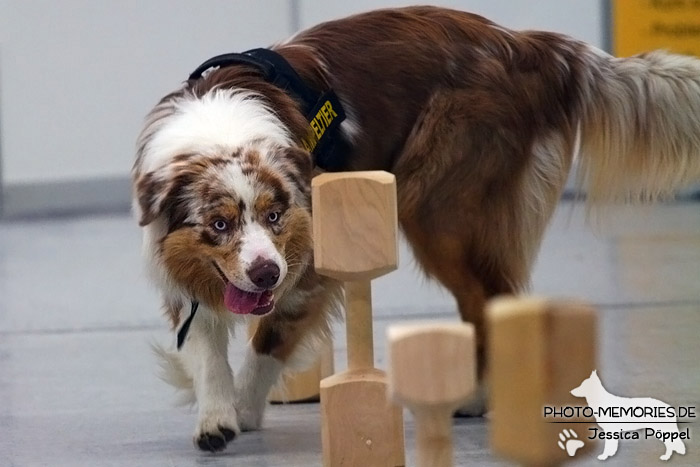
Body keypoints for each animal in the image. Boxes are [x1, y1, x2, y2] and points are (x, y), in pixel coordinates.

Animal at [134, 6, 700, 454]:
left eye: (275, 215)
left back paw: (476, 398)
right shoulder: (187, 272)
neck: (220, 128)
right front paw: (216, 416)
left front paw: (247, 409)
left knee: (490, 300)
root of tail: (535, 46)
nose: (266, 274)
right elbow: (206, 349)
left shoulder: (308, 263)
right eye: (219, 224)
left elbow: (267, 341)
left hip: (440, 212)